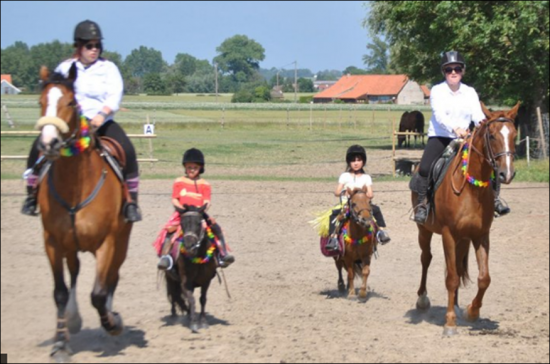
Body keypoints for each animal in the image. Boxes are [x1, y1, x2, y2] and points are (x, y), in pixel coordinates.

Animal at [35, 63, 133, 362]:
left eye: (70, 102)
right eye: (40, 101)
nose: (49, 143)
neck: (75, 188)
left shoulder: (108, 242)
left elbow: (99, 293)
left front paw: (113, 323)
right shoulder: (53, 243)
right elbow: (59, 292)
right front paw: (59, 344)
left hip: (121, 242)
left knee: (112, 277)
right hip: (71, 246)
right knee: (75, 274)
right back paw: (74, 320)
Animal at [414, 101, 520, 336]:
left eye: (514, 135)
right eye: (492, 135)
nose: (506, 174)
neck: (471, 189)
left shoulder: (481, 235)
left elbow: (484, 278)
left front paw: (471, 312)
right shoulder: (448, 234)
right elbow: (451, 278)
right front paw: (450, 323)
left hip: (463, 239)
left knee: (458, 267)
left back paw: (457, 306)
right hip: (424, 231)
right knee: (426, 259)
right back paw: (423, 300)